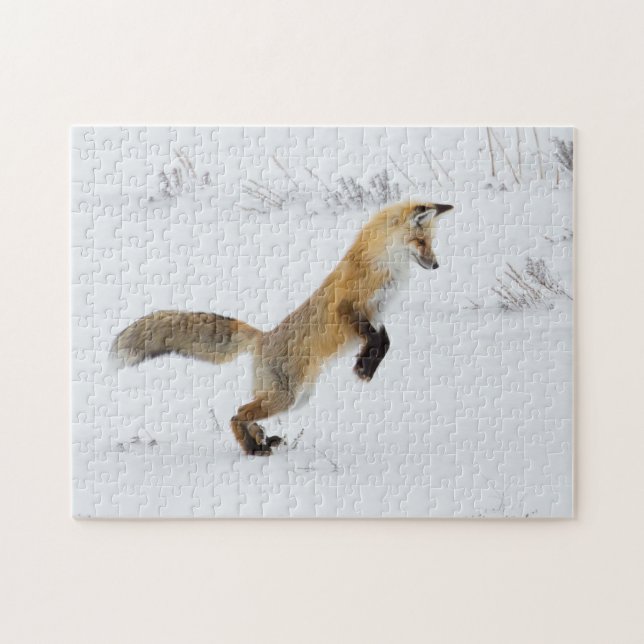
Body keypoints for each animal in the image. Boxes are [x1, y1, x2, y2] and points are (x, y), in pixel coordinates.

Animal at [112, 200, 454, 455]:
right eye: (420, 241)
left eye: (430, 243)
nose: (437, 265)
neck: (384, 267)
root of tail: (262, 338)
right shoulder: (348, 307)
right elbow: (374, 339)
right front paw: (363, 367)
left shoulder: (378, 313)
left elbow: (384, 342)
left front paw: (365, 366)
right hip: (286, 396)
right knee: (237, 413)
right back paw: (253, 448)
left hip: (295, 397)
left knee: (245, 411)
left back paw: (262, 440)